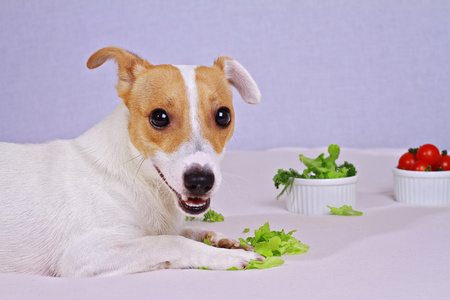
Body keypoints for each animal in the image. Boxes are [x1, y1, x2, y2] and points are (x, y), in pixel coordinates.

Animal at [0, 46, 262, 276]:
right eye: (159, 117)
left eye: (223, 115)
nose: (201, 181)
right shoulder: (84, 254)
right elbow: (169, 242)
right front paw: (228, 256)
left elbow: (183, 232)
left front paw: (221, 239)